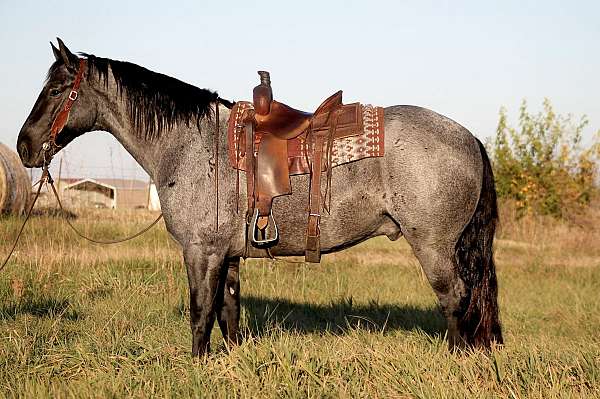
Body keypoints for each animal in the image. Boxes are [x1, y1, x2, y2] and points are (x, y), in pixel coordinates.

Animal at [17, 39, 502, 356]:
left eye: (57, 90)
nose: (24, 146)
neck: (193, 144)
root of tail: (469, 137)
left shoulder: (201, 252)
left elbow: (201, 312)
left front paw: (197, 365)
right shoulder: (228, 255)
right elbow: (228, 311)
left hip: (434, 246)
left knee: (456, 299)